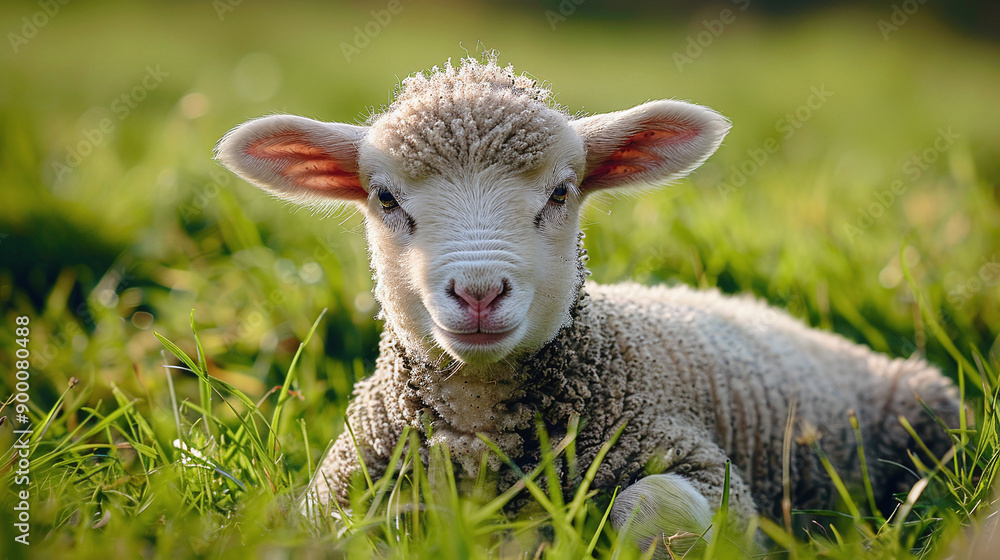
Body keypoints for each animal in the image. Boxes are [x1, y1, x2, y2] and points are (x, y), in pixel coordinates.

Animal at [215, 56, 960, 556]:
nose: (479, 292)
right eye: (386, 198)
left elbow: (652, 508)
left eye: (560, 192)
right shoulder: (339, 490)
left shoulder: (701, 468)